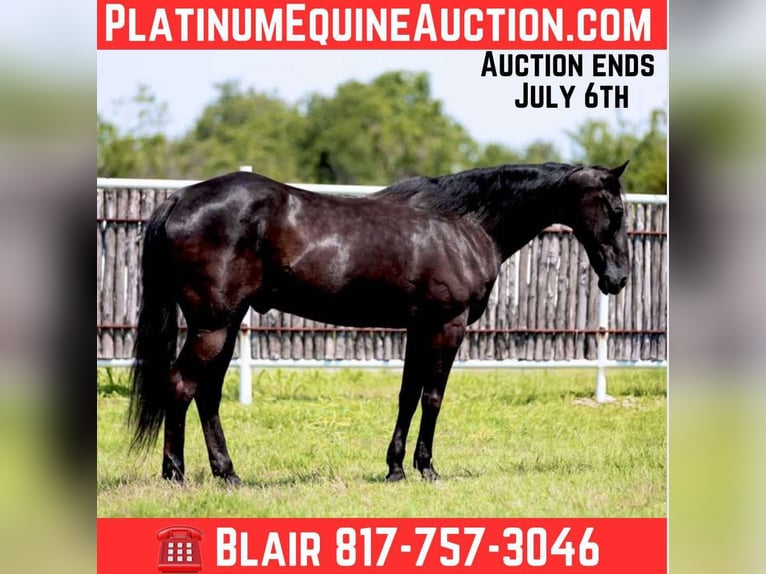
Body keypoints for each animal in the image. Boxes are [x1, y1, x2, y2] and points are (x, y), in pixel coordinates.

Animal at [128, 161, 630, 484]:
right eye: (618, 211)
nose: (619, 277)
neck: (464, 224)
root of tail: (180, 197)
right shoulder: (447, 326)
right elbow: (432, 397)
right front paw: (427, 468)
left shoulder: (419, 328)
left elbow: (407, 396)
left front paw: (395, 468)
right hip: (213, 325)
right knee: (182, 386)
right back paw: (176, 475)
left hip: (225, 325)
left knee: (206, 394)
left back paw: (227, 473)